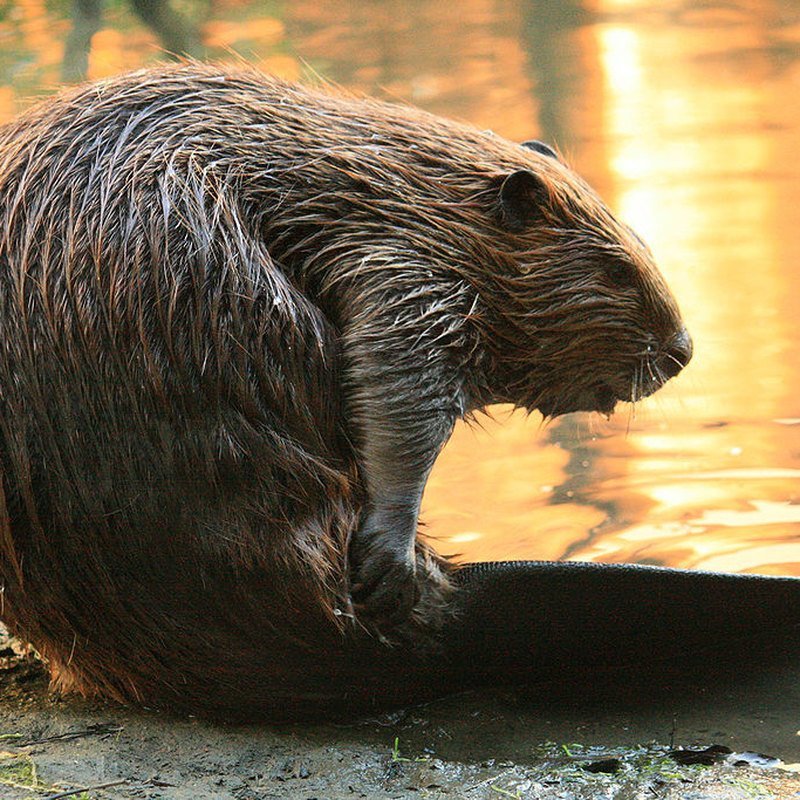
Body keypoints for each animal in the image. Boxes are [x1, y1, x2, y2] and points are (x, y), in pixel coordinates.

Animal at [1, 64, 792, 720]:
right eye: (617, 271)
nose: (683, 351)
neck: (403, 187)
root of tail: (452, 621)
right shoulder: (403, 267)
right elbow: (400, 384)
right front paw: (387, 554)